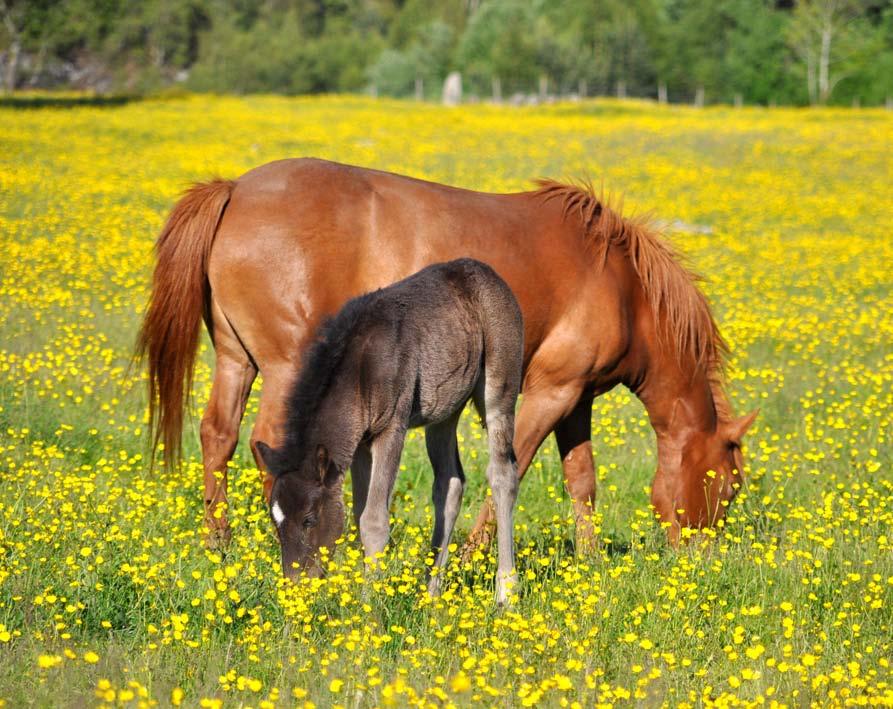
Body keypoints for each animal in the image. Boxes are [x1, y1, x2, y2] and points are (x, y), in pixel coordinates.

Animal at [138, 158, 752, 552]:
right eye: (727, 487)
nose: (697, 560)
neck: (622, 284)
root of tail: (236, 189)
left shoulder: (577, 400)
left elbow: (582, 481)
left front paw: (590, 561)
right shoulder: (549, 392)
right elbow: (513, 469)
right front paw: (471, 553)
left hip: (236, 360)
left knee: (218, 435)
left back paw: (221, 544)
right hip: (288, 368)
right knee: (269, 446)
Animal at [254, 258, 524, 600]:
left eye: (309, 519)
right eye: (275, 521)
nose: (295, 588)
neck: (360, 367)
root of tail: (487, 272)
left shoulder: (391, 428)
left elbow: (373, 520)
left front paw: (368, 602)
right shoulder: (358, 442)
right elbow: (357, 515)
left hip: (499, 386)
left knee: (503, 474)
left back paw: (506, 593)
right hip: (445, 409)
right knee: (450, 483)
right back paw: (430, 595)